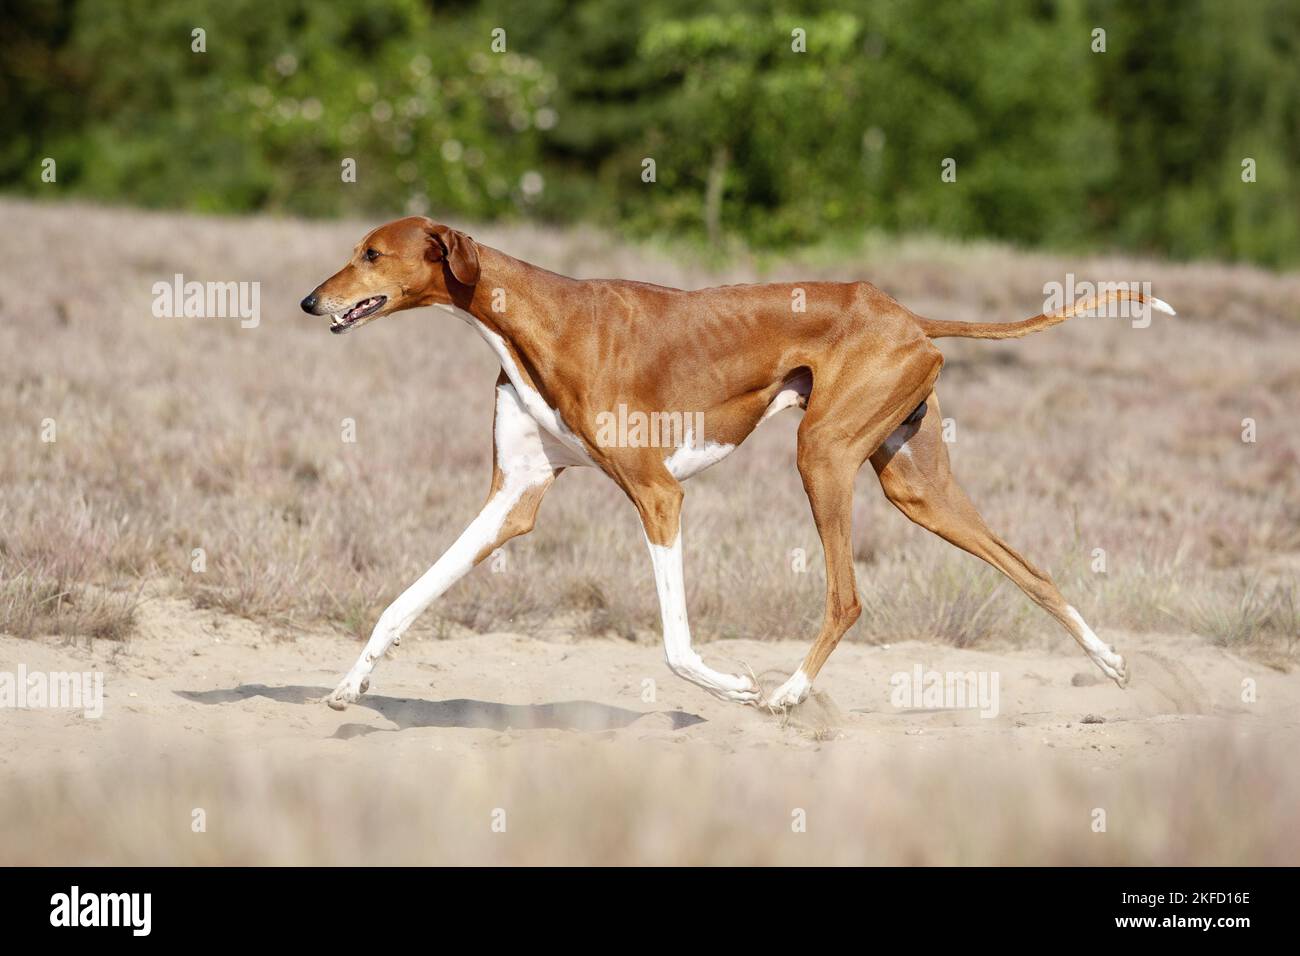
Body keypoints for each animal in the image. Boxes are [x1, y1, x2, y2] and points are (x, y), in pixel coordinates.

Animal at [299, 217, 1175, 712]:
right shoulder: (514, 497)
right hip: (916, 486)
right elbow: (404, 602)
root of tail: (907, 315)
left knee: (847, 597)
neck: (534, 318)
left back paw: (786, 694)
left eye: (372, 254)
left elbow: (675, 646)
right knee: (1032, 569)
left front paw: (736, 685)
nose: (310, 302)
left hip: (822, 457)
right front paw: (349, 686)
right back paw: (1111, 664)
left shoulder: (658, 496)